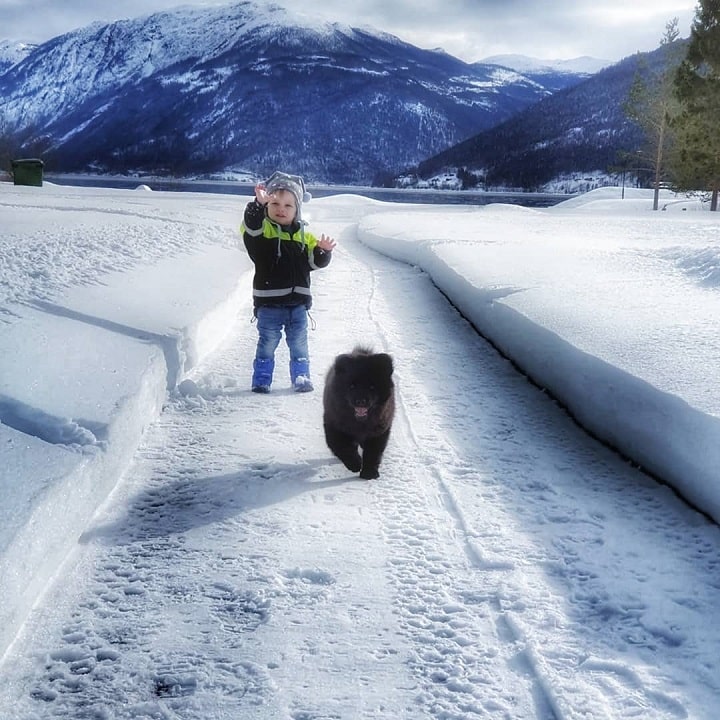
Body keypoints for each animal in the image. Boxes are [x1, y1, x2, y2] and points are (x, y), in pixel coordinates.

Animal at [324, 348, 396, 480]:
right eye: (352, 386)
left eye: (372, 387)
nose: (361, 400)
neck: (360, 424)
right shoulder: (334, 427)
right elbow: (343, 448)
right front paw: (356, 464)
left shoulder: (379, 432)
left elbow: (373, 454)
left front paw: (369, 473)